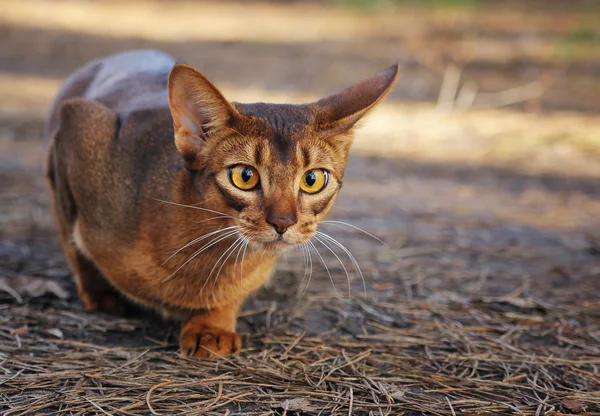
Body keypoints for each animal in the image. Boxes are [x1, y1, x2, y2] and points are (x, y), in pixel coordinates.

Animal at [45, 50, 398, 360]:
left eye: (313, 179)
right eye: (245, 176)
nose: (283, 222)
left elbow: (232, 294)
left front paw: (211, 326)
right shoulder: (79, 126)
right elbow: (72, 241)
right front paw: (98, 293)